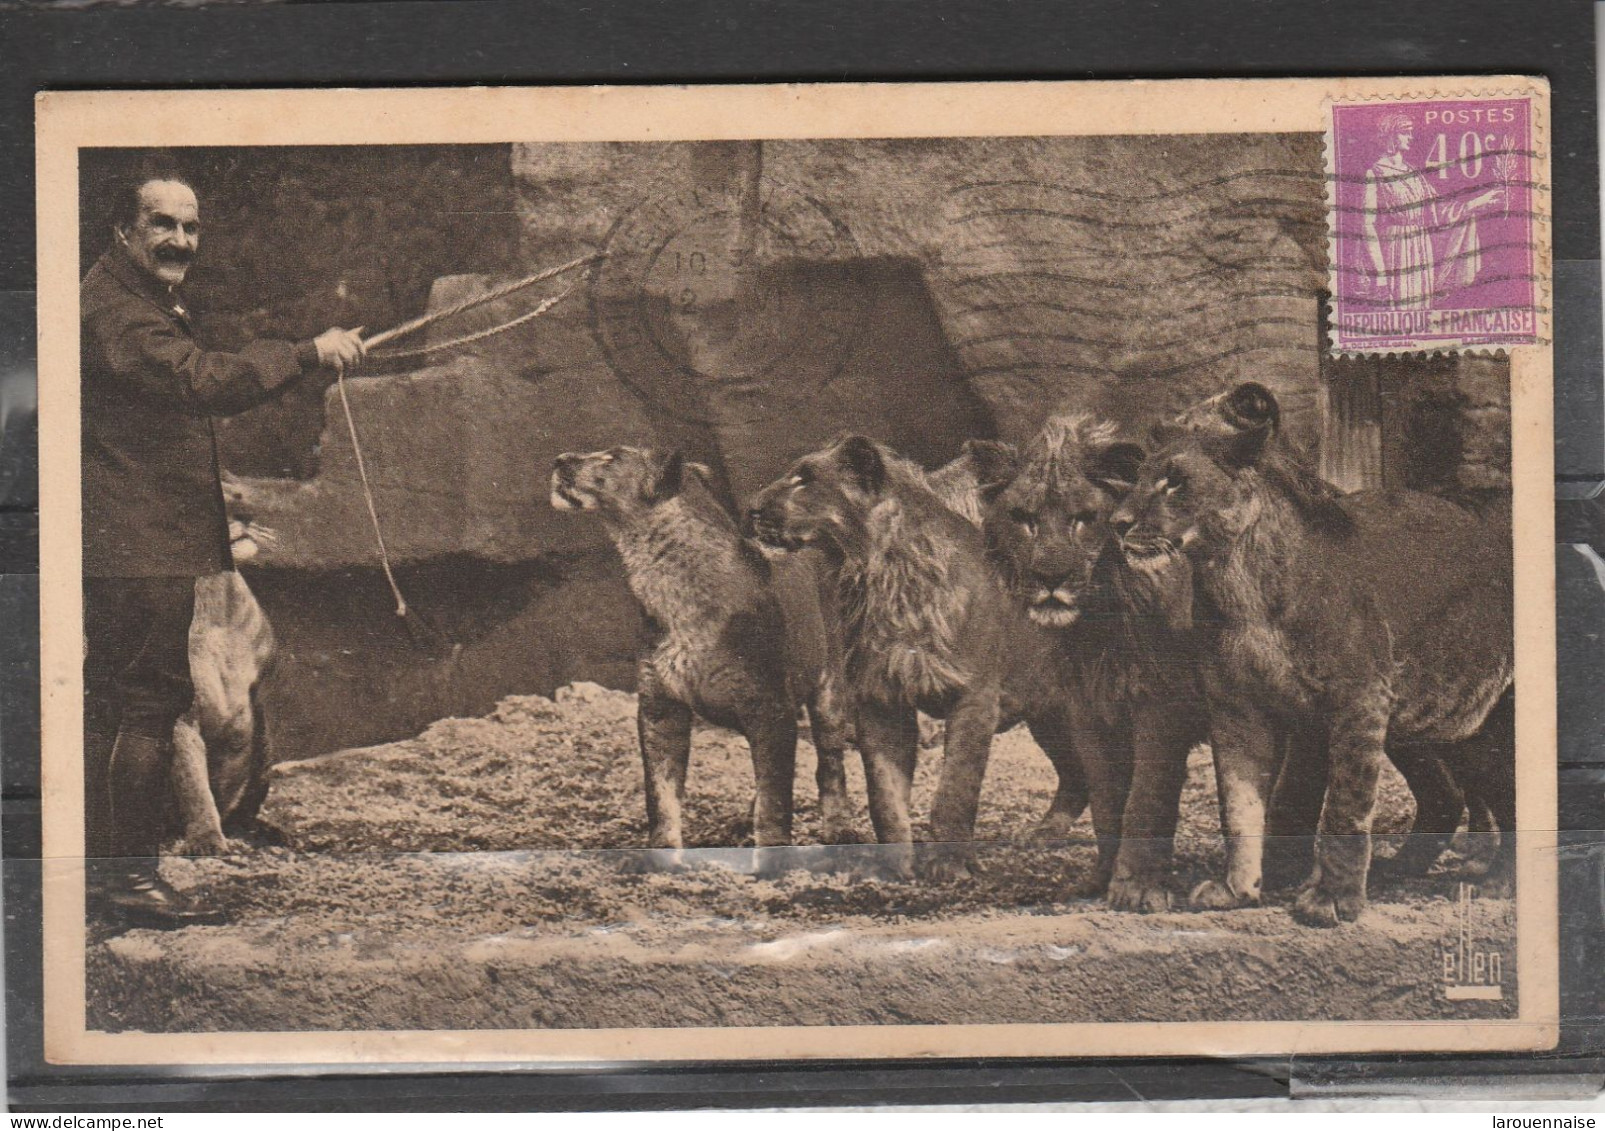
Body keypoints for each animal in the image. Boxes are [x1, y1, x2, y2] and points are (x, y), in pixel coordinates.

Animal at [552, 445, 853, 859]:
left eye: (612, 457)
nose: (559, 460)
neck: (666, 584)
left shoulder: (769, 708)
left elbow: (776, 800)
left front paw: (771, 859)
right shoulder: (660, 707)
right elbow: (660, 794)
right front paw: (662, 856)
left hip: (828, 688)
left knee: (829, 764)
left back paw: (838, 831)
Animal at [1110, 383, 1508, 924]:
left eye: (1176, 482)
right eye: (1137, 478)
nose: (1118, 522)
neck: (1237, 583)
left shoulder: (1359, 699)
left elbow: (1344, 806)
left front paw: (1331, 900)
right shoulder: (1237, 709)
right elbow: (1239, 806)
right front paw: (1237, 890)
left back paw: (1497, 883)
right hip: (1456, 722)